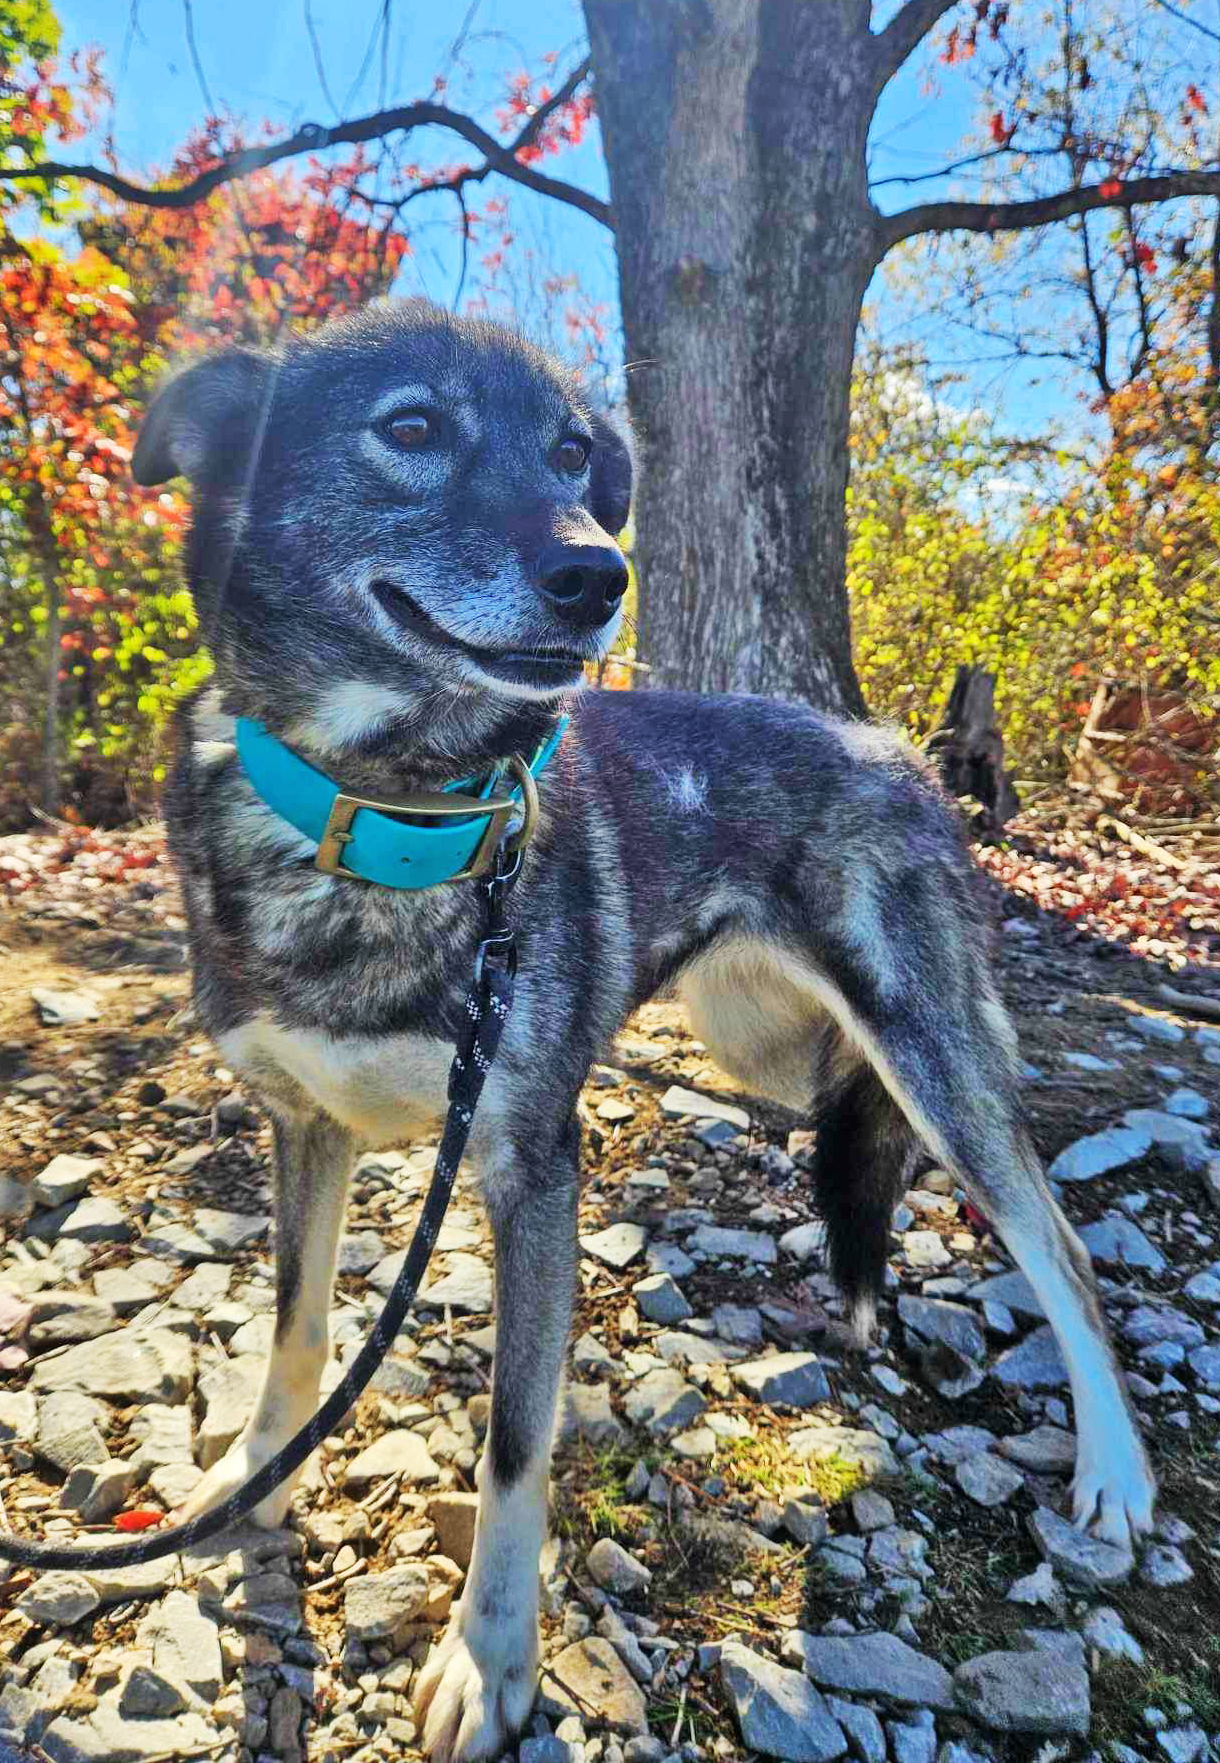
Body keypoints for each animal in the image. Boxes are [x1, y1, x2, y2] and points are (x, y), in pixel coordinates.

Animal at [133, 303, 1156, 1763]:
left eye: (575, 454)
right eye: (410, 426)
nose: (595, 573)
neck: (386, 812)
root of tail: (899, 745)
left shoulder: (529, 1168)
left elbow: (514, 1436)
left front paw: (490, 1661)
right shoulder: (304, 1128)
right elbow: (295, 1333)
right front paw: (255, 1480)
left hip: (926, 1045)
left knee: (1056, 1245)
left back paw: (1113, 1475)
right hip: (769, 1047)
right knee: (864, 1138)